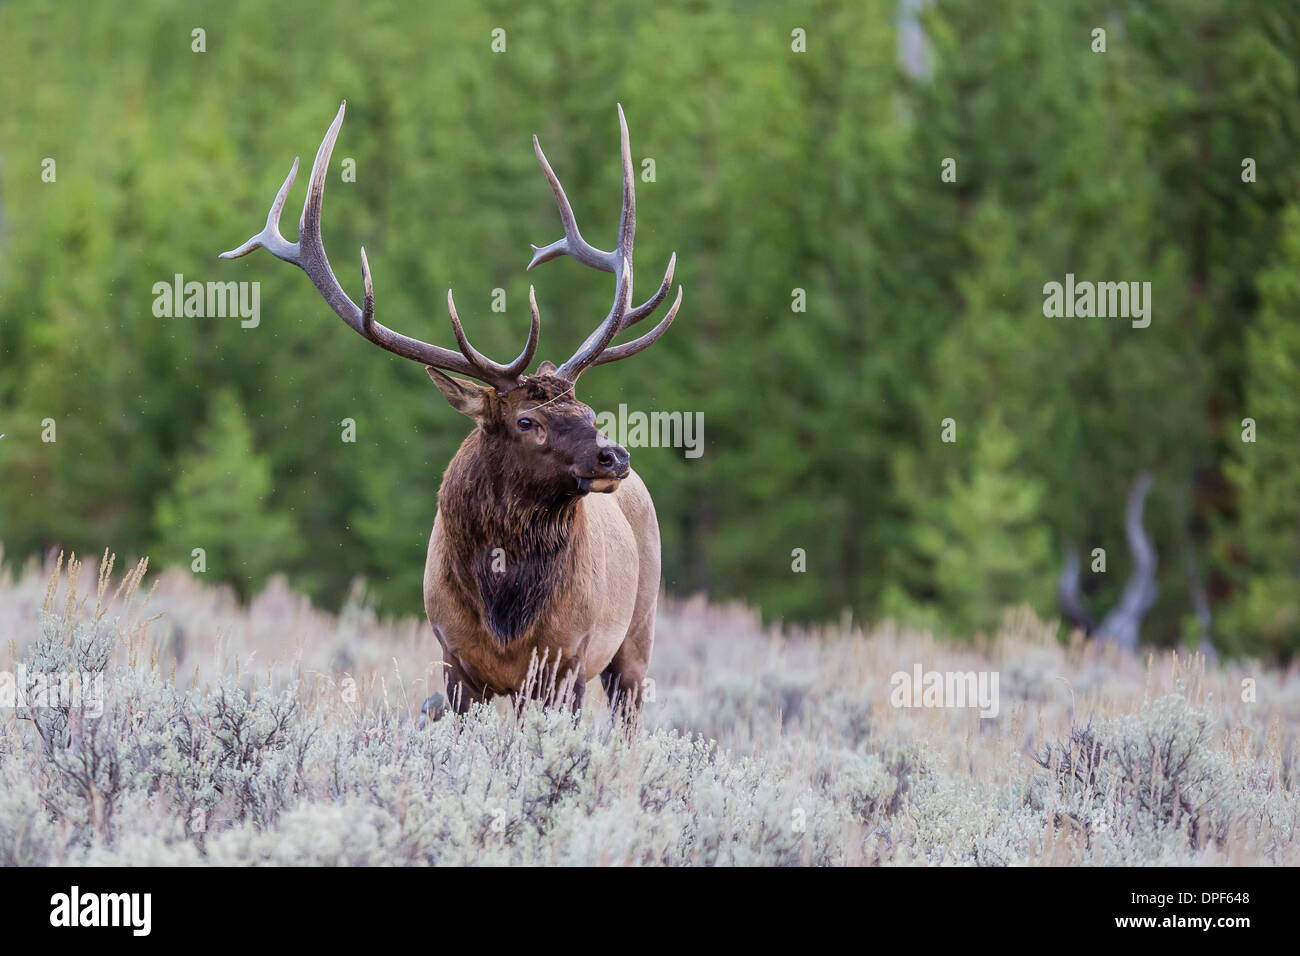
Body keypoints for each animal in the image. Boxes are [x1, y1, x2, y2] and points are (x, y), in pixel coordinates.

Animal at [220, 100, 691, 723]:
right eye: (527, 421)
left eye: (588, 411)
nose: (614, 455)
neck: (505, 614)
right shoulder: (455, 663)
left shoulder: (568, 662)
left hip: (637, 636)